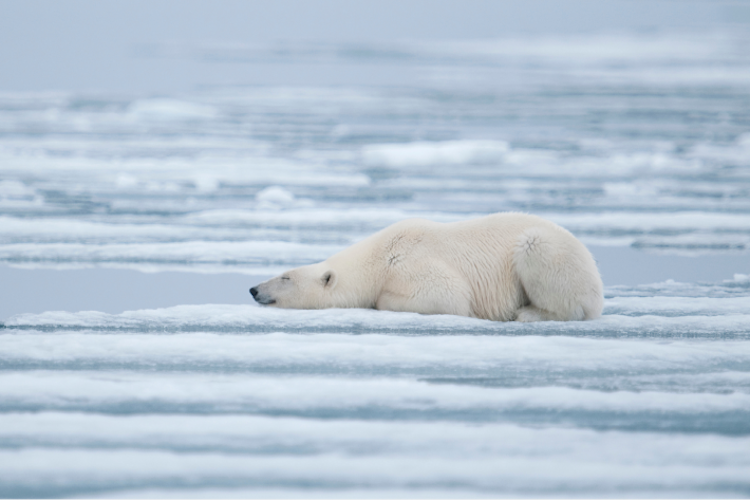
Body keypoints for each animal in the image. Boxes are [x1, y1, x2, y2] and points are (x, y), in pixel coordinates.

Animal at [250, 213, 603, 322]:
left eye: (285, 277)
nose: (253, 289)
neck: (380, 257)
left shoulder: (411, 263)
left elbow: (449, 295)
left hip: (548, 251)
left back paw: (528, 312)